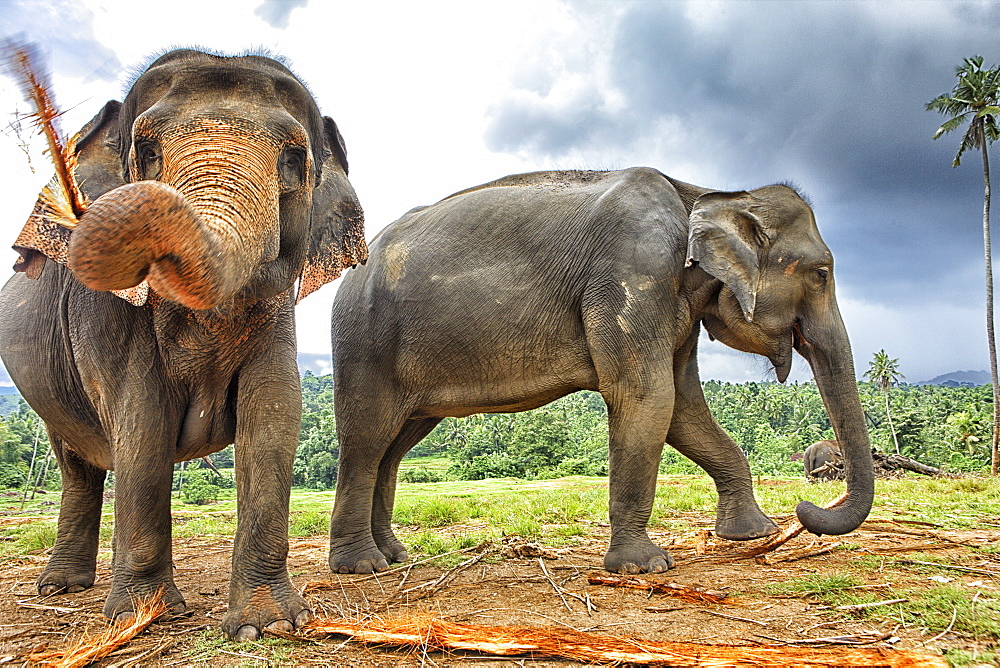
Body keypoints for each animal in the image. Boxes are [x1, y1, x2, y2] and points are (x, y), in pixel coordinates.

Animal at [0, 49, 368, 640]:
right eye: (146, 152)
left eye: (293, 160)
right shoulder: (103, 319)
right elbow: (142, 421)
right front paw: (144, 617)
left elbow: (274, 413)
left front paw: (266, 626)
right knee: (77, 465)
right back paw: (61, 588)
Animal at [330, 166, 876, 576]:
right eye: (822, 273)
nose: (805, 512)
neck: (705, 193)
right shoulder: (634, 273)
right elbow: (648, 397)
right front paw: (644, 567)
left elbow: (683, 409)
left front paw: (754, 534)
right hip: (363, 341)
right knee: (366, 439)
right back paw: (362, 567)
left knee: (393, 446)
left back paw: (394, 555)